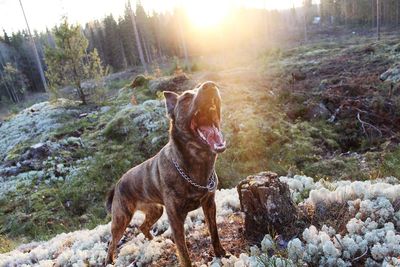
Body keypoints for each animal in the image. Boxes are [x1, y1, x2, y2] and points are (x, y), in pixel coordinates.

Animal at [104, 81, 227, 266]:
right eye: (186, 98)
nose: (210, 85)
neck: (197, 163)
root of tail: (117, 184)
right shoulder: (175, 218)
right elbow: (184, 253)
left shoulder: (209, 204)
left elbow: (214, 232)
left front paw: (220, 252)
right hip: (121, 219)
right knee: (112, 242)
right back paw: (110, 260)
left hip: (155, 210)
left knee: (142, 226)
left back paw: (155, 241)